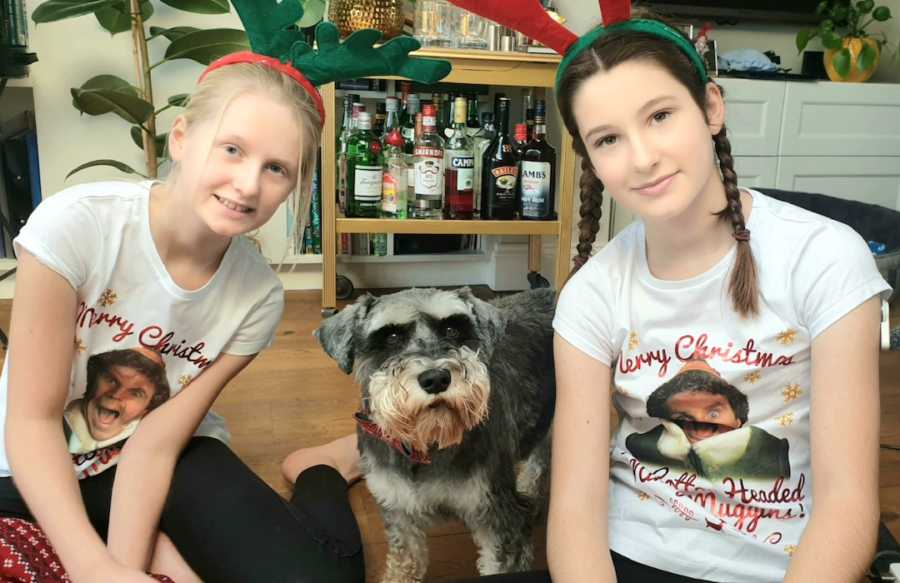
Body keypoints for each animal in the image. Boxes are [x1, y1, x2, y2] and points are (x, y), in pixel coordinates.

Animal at [316, 288, 556, 583]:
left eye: (452, 330)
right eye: (391, 337)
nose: (436, 378)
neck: (426, 443)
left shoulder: (497, 519)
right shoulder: (400, 513)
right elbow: (404, 564)